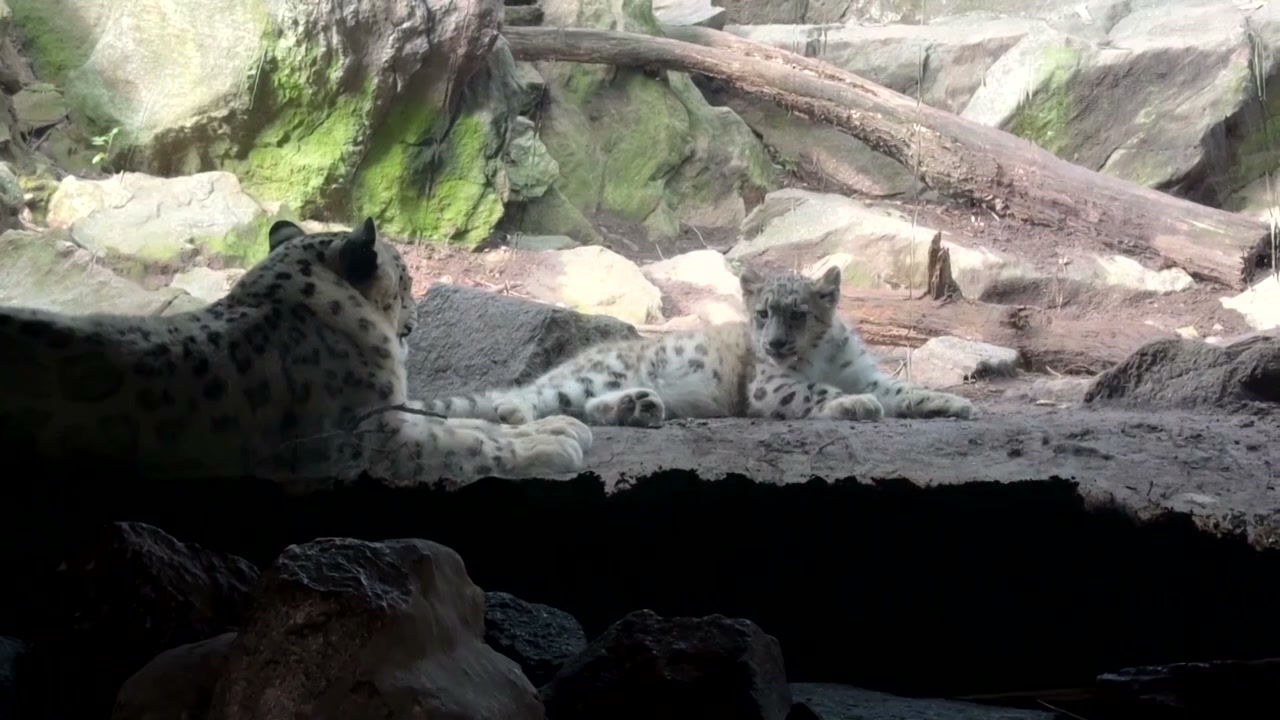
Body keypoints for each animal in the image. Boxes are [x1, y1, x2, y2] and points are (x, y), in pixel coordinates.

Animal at [0, 217, 593, 484]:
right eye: (405, 276)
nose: (417, 313)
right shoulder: (374, 440)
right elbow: (462, 444)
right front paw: (553, 442)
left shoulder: (391, 415)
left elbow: (454, 417)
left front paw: (555, 424)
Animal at [420, 265, 976, 427]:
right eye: (762, 313)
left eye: (798, 313)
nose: (775, 343)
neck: (819, 356)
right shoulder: (771, 386)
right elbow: (817, 393)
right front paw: (854, 405)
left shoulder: (866, 372)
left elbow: (901, 391)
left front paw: (953, 402)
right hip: (588, 376)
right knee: (525, 399)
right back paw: (518, 411)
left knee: (585, 410)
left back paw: (639, 407)